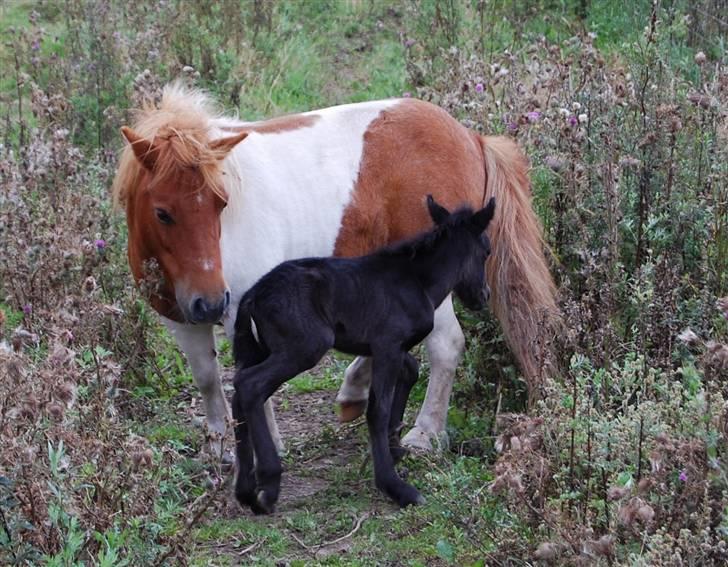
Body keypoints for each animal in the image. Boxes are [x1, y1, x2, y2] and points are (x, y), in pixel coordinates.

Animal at [112, 83, 556, 458]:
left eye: (221, 202)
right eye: (162, 213)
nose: (208, 303)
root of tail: (470, 138)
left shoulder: (240, 310)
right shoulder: (178, 319)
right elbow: (206, 377)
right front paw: (220, 446)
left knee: (446, 344)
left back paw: (424, 434)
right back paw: (356, 392)